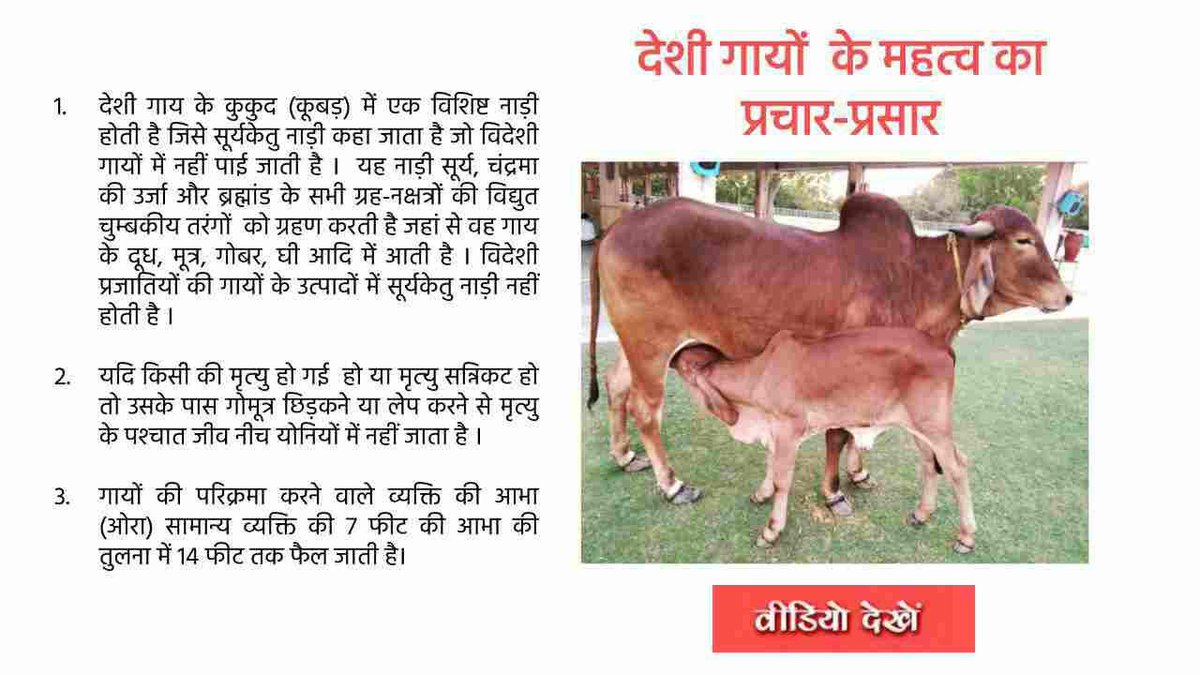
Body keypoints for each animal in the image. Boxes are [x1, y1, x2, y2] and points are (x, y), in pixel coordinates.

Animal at [587, 193, 1070, 511]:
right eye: (1024, 241)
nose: (1066, 296)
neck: (915, 277)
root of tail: (615, 229)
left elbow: (858, 429)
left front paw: (858, 473)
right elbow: (839, 433)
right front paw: (835, 490)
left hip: (638, 346)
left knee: (615, 386)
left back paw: (625, 456)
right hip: (650, 346)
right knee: (646, 410)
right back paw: (673, 485)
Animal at [670, 329, 973, 552]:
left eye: (683, 370)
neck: (759, 376)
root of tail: (942, 347)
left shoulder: (788, 429)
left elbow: (782, 480)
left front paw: (771, 530)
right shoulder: (773, 430)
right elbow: (770, 464)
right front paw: (761, 493)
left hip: (934, 425)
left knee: (957, 468)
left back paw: (966, 537)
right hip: (917, 427)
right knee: (929, 464)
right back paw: (921, 514)